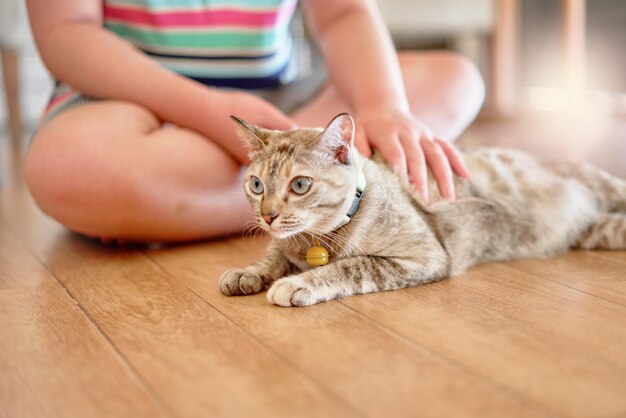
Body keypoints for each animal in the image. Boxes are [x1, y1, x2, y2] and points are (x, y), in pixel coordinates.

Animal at [218, 112, 624, 306]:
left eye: (300, 185)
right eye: (257, 185)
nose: (267, 216)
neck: (313, 242)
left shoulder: (424, 256)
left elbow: (351, 266)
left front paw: (297, 283)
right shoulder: (283, 245)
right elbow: (271, 257)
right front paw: (247, 273)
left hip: (606, 187)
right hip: (598, 232)